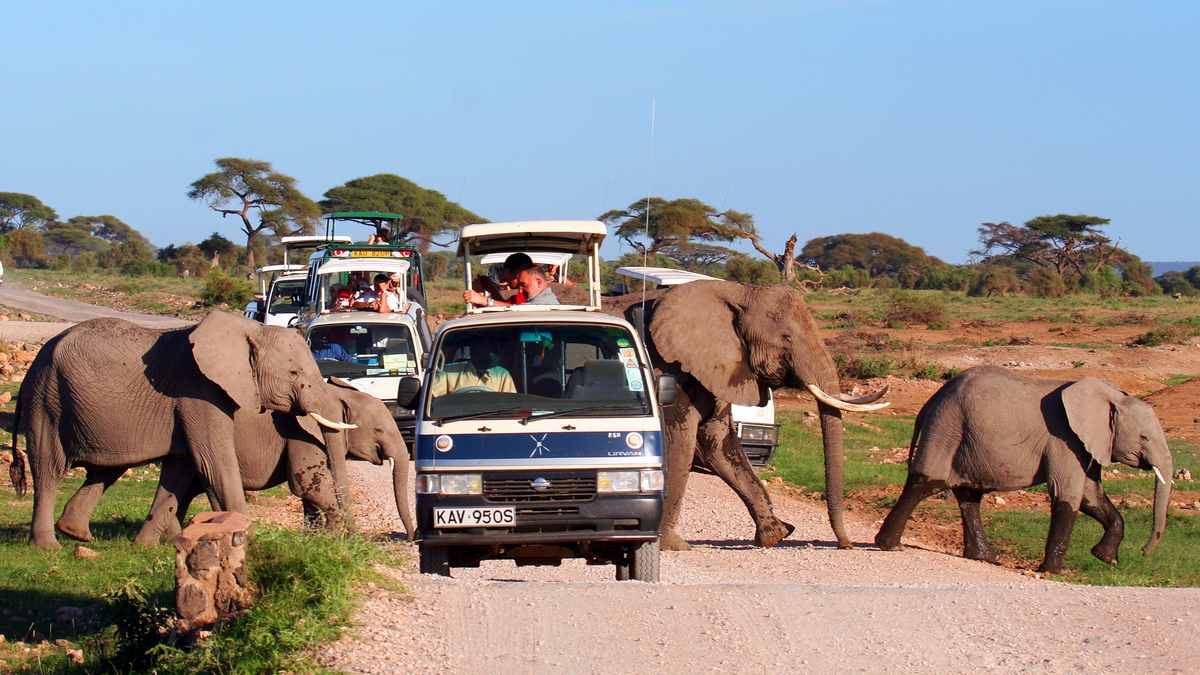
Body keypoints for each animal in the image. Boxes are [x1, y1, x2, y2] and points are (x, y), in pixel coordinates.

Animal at [10, 309, 355, 547]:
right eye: (294, 373)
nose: (351, 537)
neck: (247, 330)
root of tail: (33, 366)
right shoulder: (199, 391)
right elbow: (213, 462)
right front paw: (242, 540)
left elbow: (180, 470)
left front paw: (145, 546)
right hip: (47, 400)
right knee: (49, 469)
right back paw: (49, 546)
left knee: (104, 470)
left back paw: (77, 535)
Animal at [52, 374, 417, 542]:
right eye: (379, 430)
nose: (409, 537)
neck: (335, 394)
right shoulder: (301, 434)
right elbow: (306, 485)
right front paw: (336, 536)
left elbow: (311, 492)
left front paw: (318, 536)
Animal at [604, 278, 888, 547]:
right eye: (787, 337)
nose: (845, 545)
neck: (735, 291)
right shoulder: (666, 369)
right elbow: (681, 443)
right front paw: (670, 543)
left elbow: (719, 444)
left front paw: (776, 534)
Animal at [873, 365, 1171, 569]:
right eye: (1145, 437)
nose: (1144, 551)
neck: (1109, 397)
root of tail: (928, 404)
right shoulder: (1064, 439)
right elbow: (1067, 495)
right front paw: (1057, 571)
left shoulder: (1088, 444)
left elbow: (1090, 496)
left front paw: (1106, 559)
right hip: (946, 427)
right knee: (925, 481)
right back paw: (889, 546)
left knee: (968, 494)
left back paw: (986, 557)